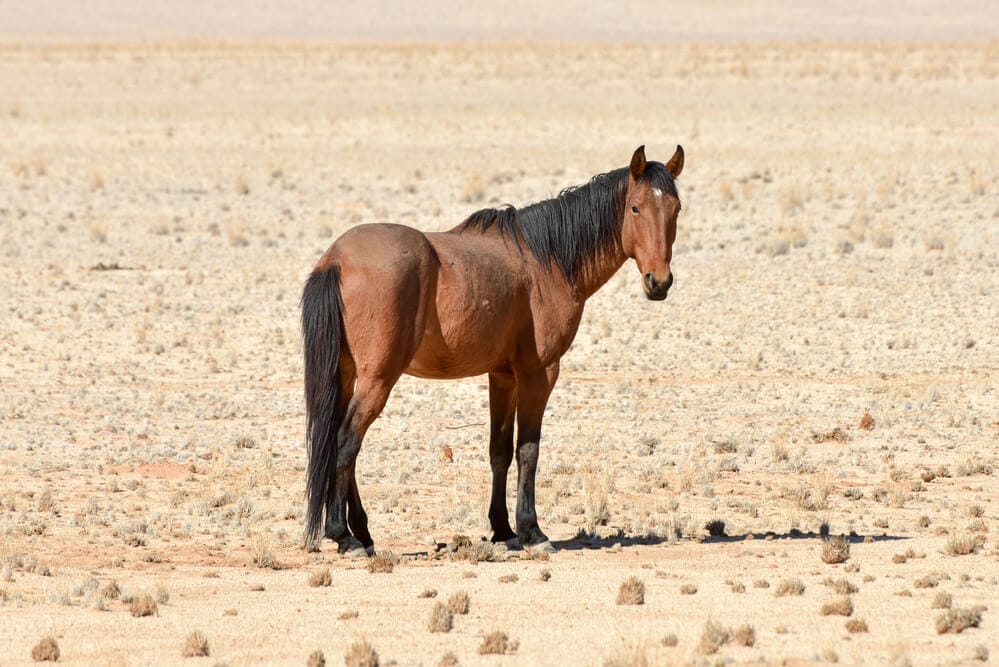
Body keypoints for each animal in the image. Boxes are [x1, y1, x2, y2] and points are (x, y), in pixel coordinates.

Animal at [301, 145, 684, 556]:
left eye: (675, 208)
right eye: (635, 208)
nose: (659, 282)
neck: (547, 260)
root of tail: (336, 259)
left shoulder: (502, 376)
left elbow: (499, 449)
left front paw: (502, 529)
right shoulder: (539, 373)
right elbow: (528, 449)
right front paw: (532, 531)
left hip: (346, 374)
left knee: (335, 440)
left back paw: (361, 532)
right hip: (378, 379)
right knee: (346, 441)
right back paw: (343, 535)